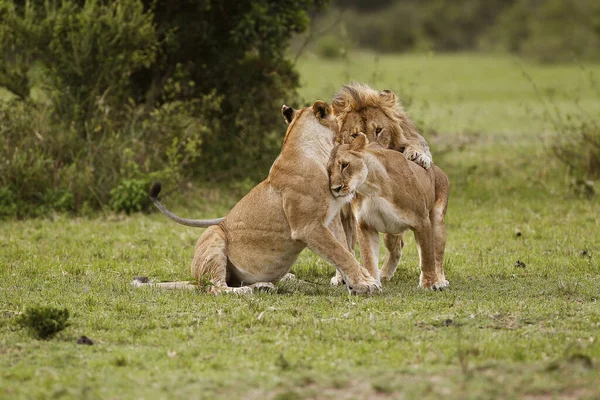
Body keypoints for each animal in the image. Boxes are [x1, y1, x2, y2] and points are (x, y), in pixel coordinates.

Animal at [134, 100, 382, 294]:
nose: (353, 134)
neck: (317, 152)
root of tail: (194, 279)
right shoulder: (307, 226)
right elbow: (341, 253)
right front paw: (366, 284)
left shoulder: (330, 220)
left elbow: (345, 251)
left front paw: (356, 281)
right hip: (214, 234)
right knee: (216, 288)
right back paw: (246, 291)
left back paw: (263, 286)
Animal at [326, 134, 448, 290]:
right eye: (329, 170)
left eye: (345, 165)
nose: (335, 189)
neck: (373, 188)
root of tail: (437, 168)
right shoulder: (365, 226)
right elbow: (369, 258)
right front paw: (372, 282)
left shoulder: (422, 222)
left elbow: (427, 256)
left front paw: (429, 284)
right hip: (390, 233)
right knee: (396, 246)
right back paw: (384, 274)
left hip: (437, 220)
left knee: (437, 254)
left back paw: (441, 280)